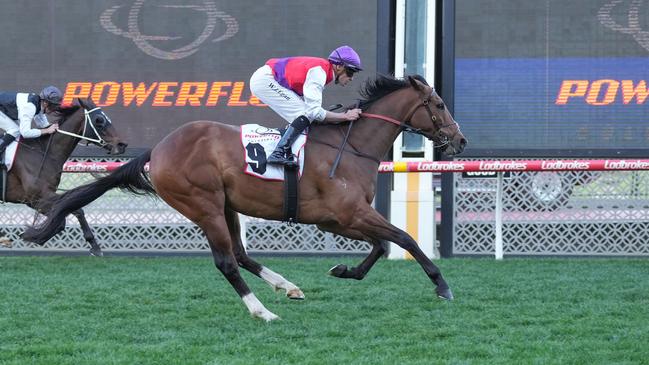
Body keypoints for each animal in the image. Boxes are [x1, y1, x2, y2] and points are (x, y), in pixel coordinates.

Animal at [21, 74, 466, 318]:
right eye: (438, 103)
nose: (460, 140)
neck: (352, 145)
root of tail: (159, 148)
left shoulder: (340, 218)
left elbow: (381, 245)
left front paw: (345, 271)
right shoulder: (347, 214)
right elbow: (404, 239)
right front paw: (442, 286)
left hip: (226, 205)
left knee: (239, 254)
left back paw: (286, 286)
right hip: (203, 206)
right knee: (226, 262)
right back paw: (262, 311)